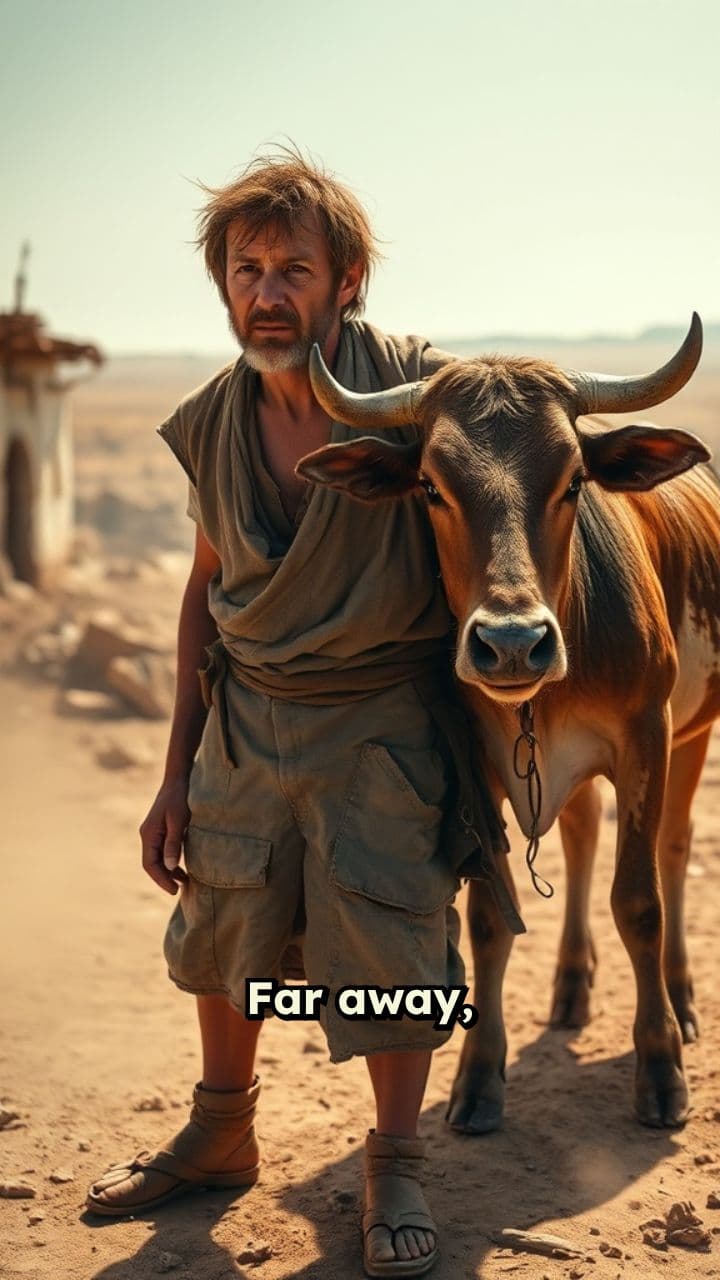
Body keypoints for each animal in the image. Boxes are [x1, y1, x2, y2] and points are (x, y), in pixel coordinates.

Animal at [296, 315, 720, 1131]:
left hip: (694, 730)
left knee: (676, 848)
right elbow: (492, 918)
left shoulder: (646, 738)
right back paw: (570, 988)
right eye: (431, 486)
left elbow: (640, 900)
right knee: (582, 837)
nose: (515, 643)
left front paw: (660, 1069)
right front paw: (478, 1078)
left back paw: (682, 998)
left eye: (574, 481)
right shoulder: (478, 763)